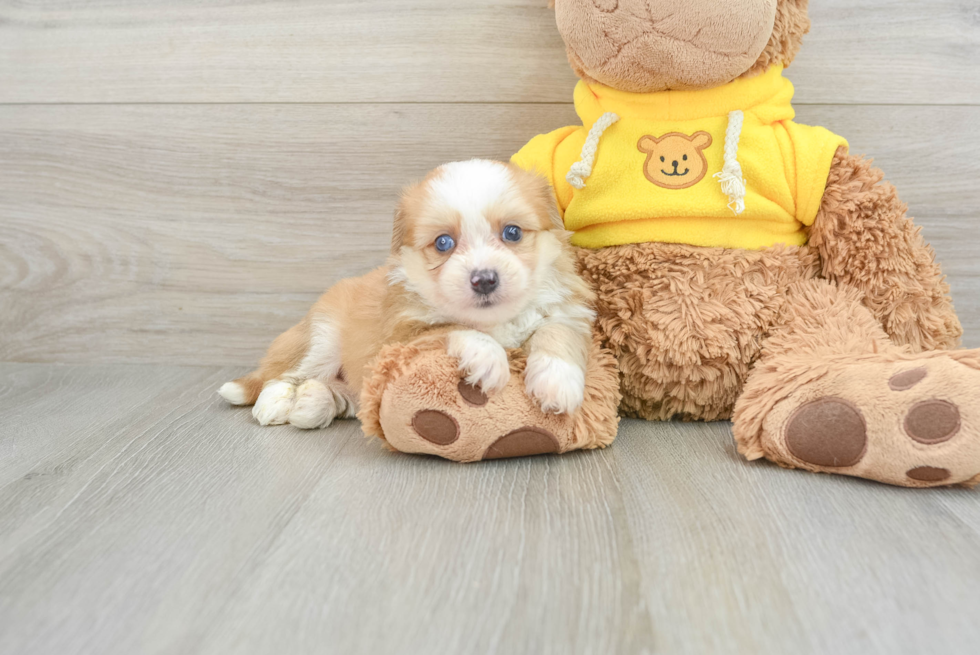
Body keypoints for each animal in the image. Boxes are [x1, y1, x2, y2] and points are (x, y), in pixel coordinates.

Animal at [217, 160, 592, 430]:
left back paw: (312, 403)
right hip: (320, 338)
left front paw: (557, 382)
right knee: (280, 375)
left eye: (512, 232)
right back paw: (275, 403)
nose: (484, 280)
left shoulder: (567, 310)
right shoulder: (402, 335)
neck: (495, 321)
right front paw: (487, 358)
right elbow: (450, 328)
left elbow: (555, 331)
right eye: (443, 243)